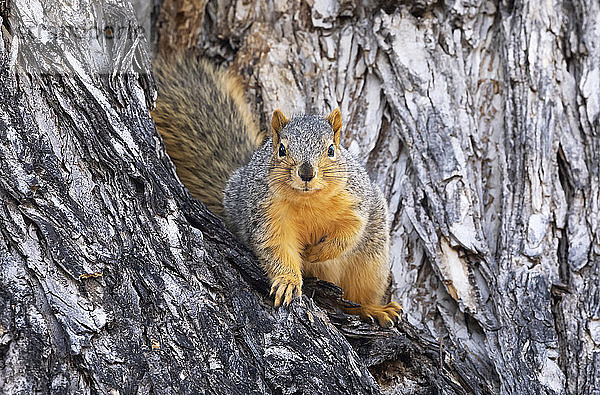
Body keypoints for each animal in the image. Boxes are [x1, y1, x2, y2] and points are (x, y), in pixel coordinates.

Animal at [152, 55, 400, 328]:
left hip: (371, 262)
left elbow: (349, 233)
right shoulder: (267, 214)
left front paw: (316, 252)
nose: (306, 173)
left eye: (331, 150)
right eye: (281, 149)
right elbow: (277, 247)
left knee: (359, 296)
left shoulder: (356, 201)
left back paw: (374, 309)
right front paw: (288, 282)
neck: (308, 201)